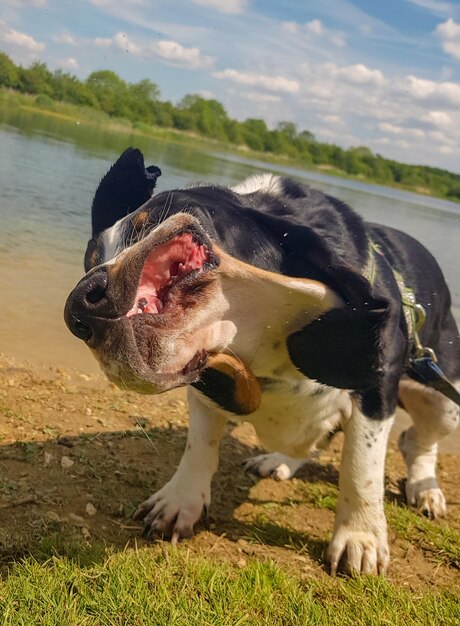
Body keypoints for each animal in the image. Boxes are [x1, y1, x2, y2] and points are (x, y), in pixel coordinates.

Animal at [64, 145, 460, 572]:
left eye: (153, 224)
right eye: (90, 261)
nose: (79, 307)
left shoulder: (375, 387)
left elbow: (361, 467)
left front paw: (360, 537)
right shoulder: (206, 383)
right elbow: (199, 444)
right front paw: (180, 501)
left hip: (443, 400)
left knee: (415, 441)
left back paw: (425, 489)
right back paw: (280, 460)